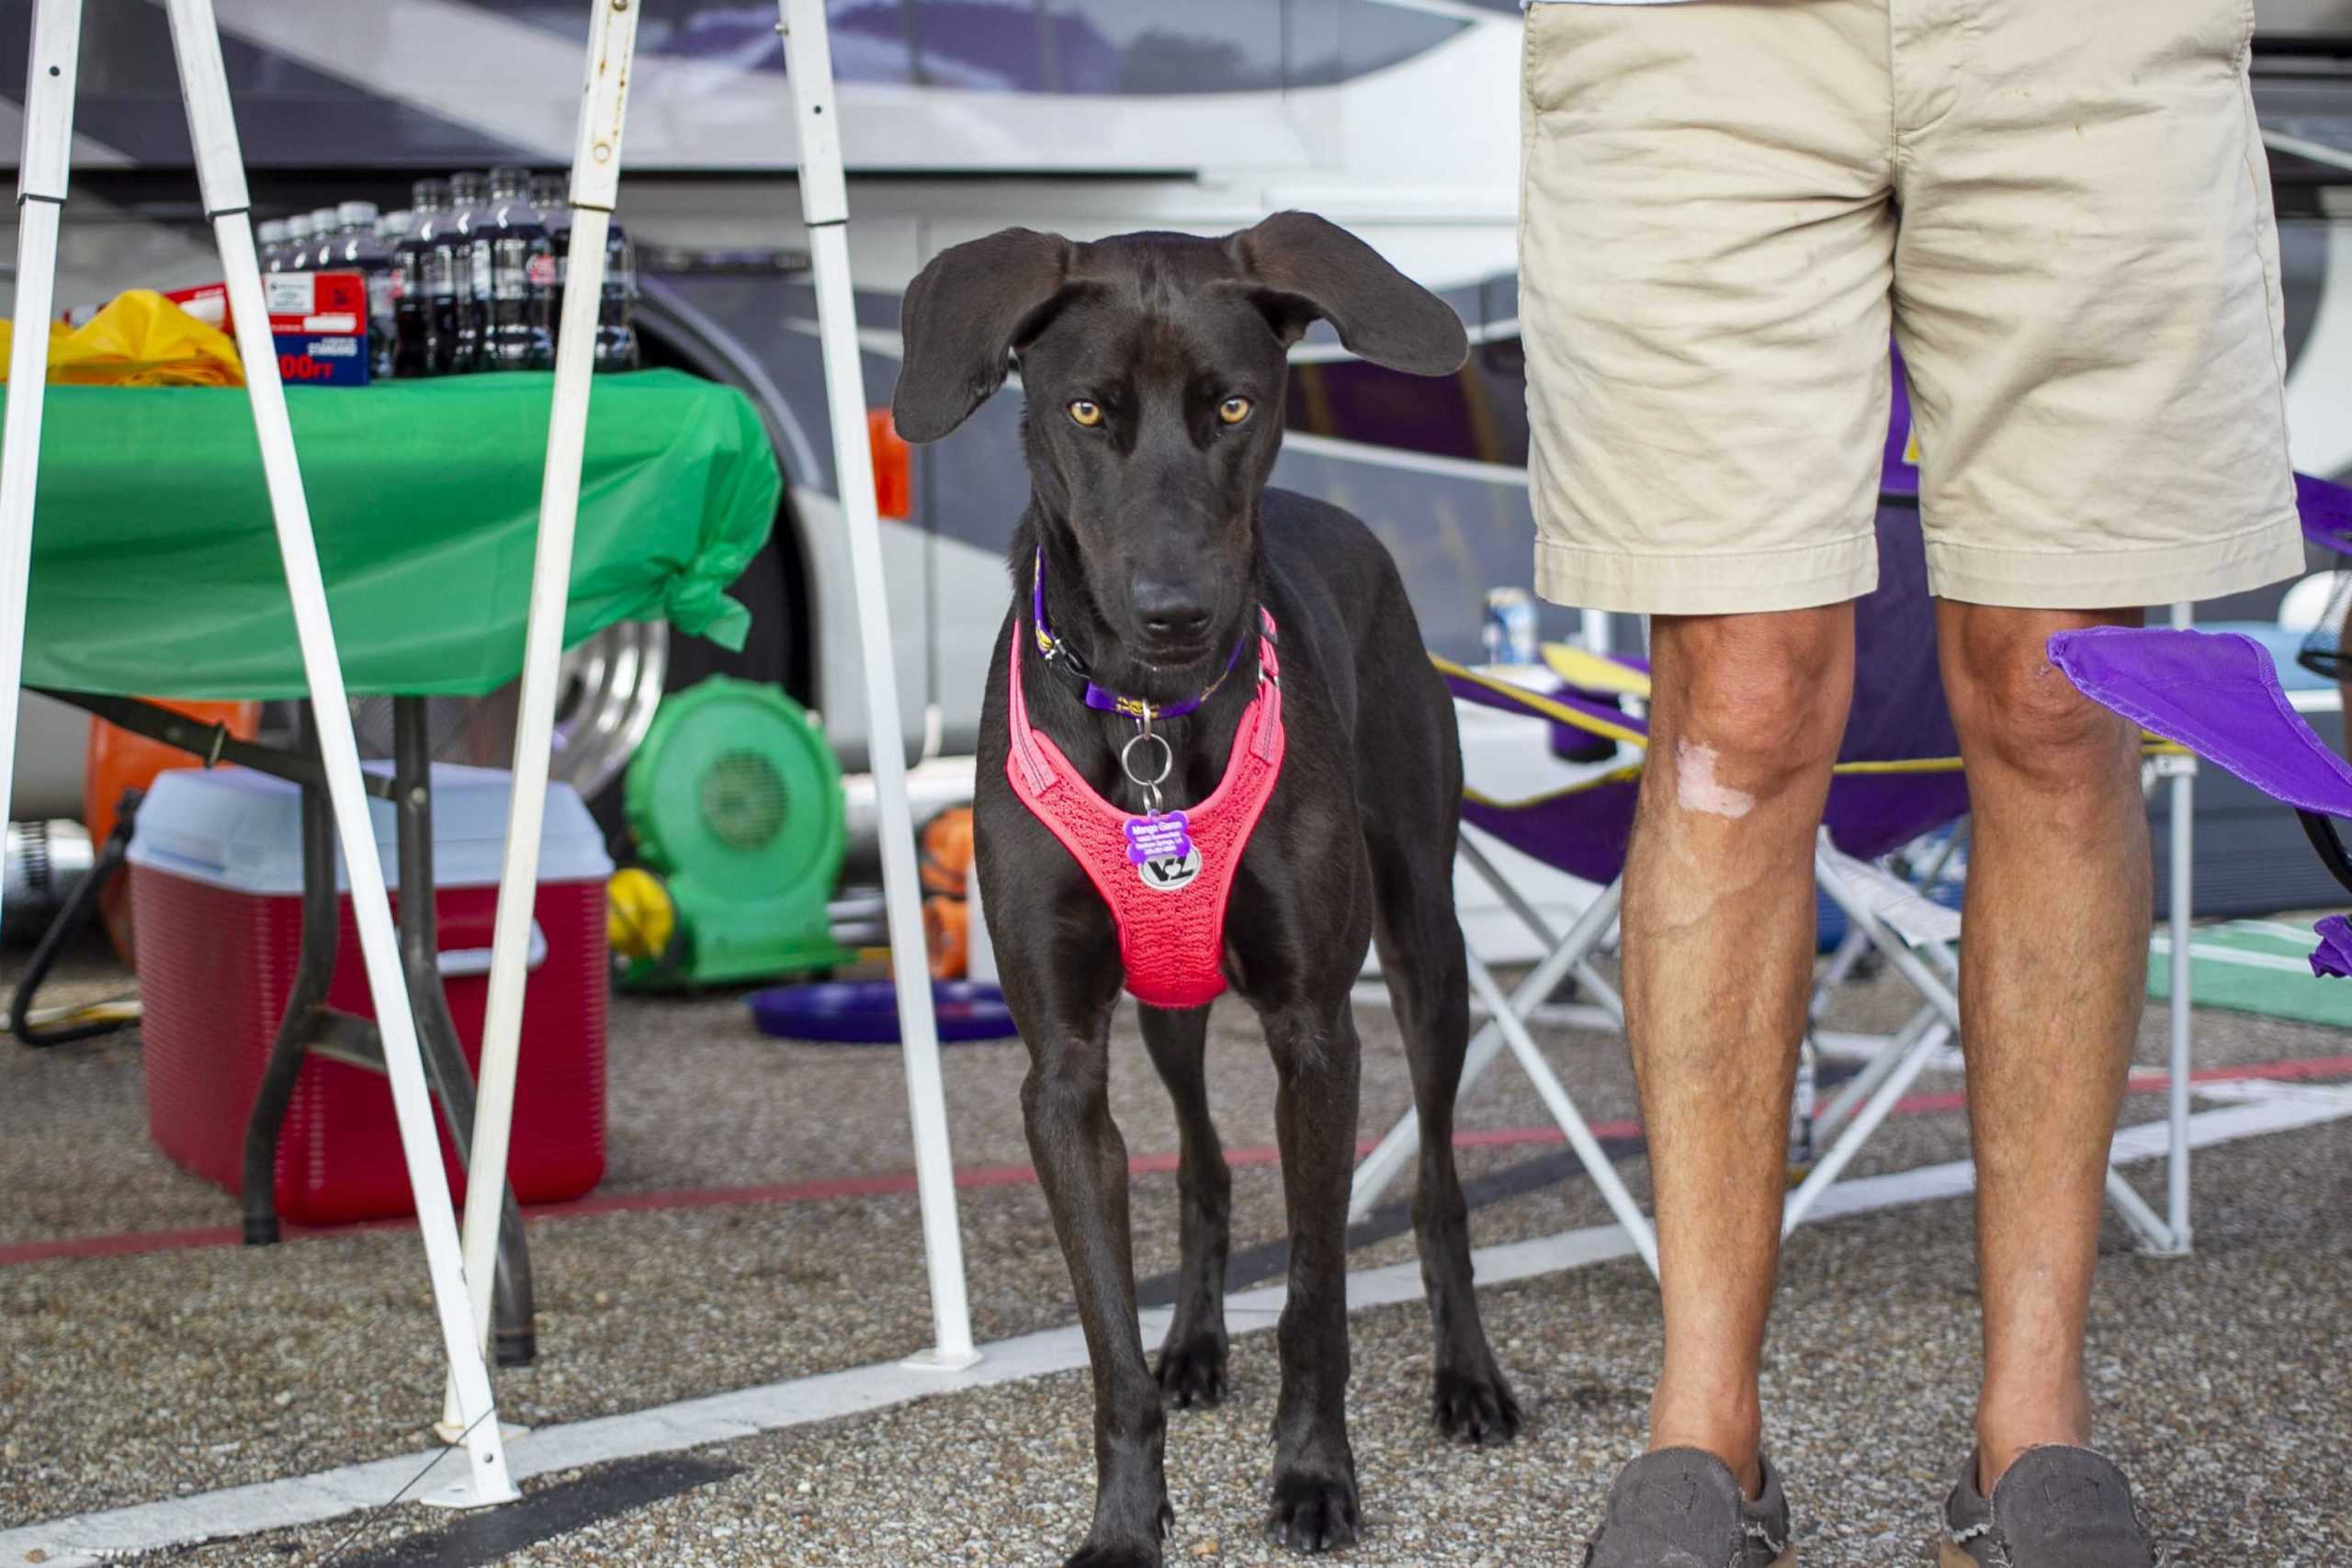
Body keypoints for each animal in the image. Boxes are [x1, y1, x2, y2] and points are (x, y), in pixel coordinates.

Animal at [888, 215, 1514, 1561]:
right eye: (1084, 409)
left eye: (1234, 404)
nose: (1175, 613)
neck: (1150, 719)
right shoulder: (1063, 1066)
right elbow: (1109, 1345)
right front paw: (1128, 1518)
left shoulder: (1317, 1034)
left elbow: (1320, 1298)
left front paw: (1315, 1474)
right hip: (1170, 1001)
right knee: (1204, 1168)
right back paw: (1195, 1341)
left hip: (1428, 948)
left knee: (1439, 1187)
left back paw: (1470, 1375)